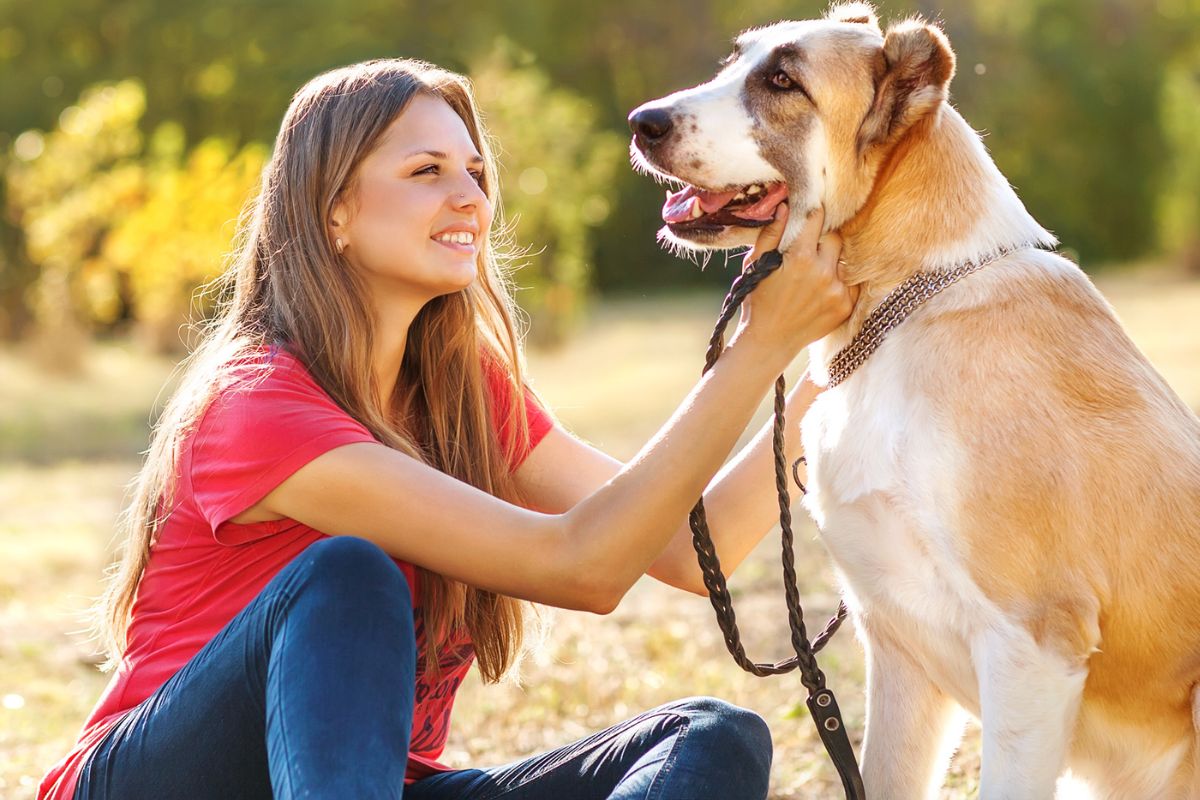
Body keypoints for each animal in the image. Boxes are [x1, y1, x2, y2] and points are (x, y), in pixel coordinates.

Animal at [628, 3, 1200, 796]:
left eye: (783, 81)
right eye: (732, 60)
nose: (639, 122)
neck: (907, 305)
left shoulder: (1031, 650)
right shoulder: (896, 646)